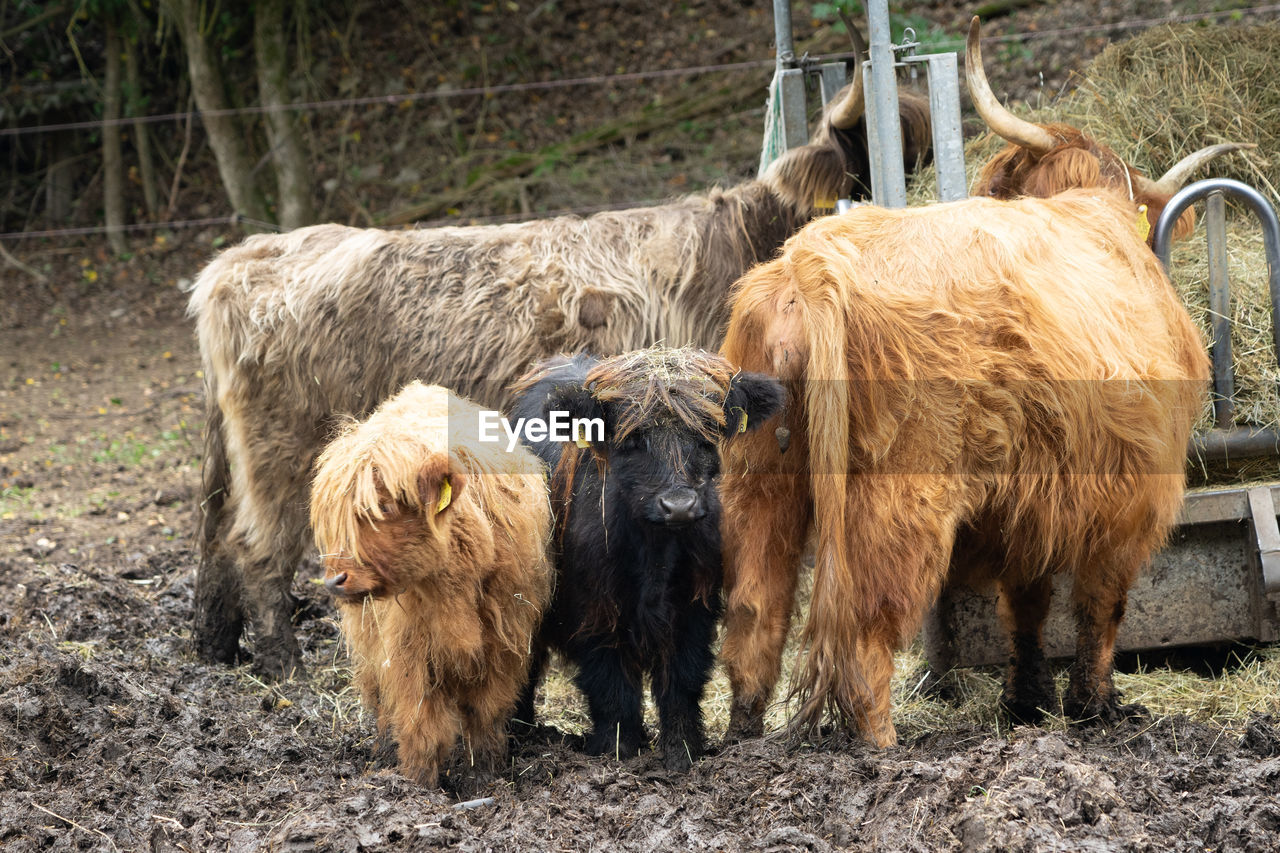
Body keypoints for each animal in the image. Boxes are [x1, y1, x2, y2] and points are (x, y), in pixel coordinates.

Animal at [186, 68, 931, 676]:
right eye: (872, 167)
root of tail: (238, 261)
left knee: (215, 532)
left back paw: (214, 646)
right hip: (282, 449)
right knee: (257, 546)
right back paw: (283, 664)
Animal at [312, 381, 552, 788]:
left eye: (384, 507)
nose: (334, 579)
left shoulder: (504, 641)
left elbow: (485, 712)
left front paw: (485, 773)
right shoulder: (408, 651)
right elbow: (421, 724)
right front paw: (417, 784)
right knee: (382, 702)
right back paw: (383, 750)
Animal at [506, 348, 778, 768]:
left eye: (705, 436)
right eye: (633, 439)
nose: (679, 506)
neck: (655, 554)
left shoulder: (694, 610)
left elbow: (682, 682)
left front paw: (683, 751)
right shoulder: (597, 613)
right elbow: (612, 686)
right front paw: (618, 751)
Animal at [721, 189, 1208, 742]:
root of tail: (808, 260)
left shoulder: (1030, 507)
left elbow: (1026, 604)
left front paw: (1027, 702)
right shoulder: (1131, 504)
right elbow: (1101, 606)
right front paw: (1094, 707)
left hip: (759, 478)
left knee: (754, 608)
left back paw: (742, 737)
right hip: (902, 495)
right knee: (865, 630)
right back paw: (880, 746)